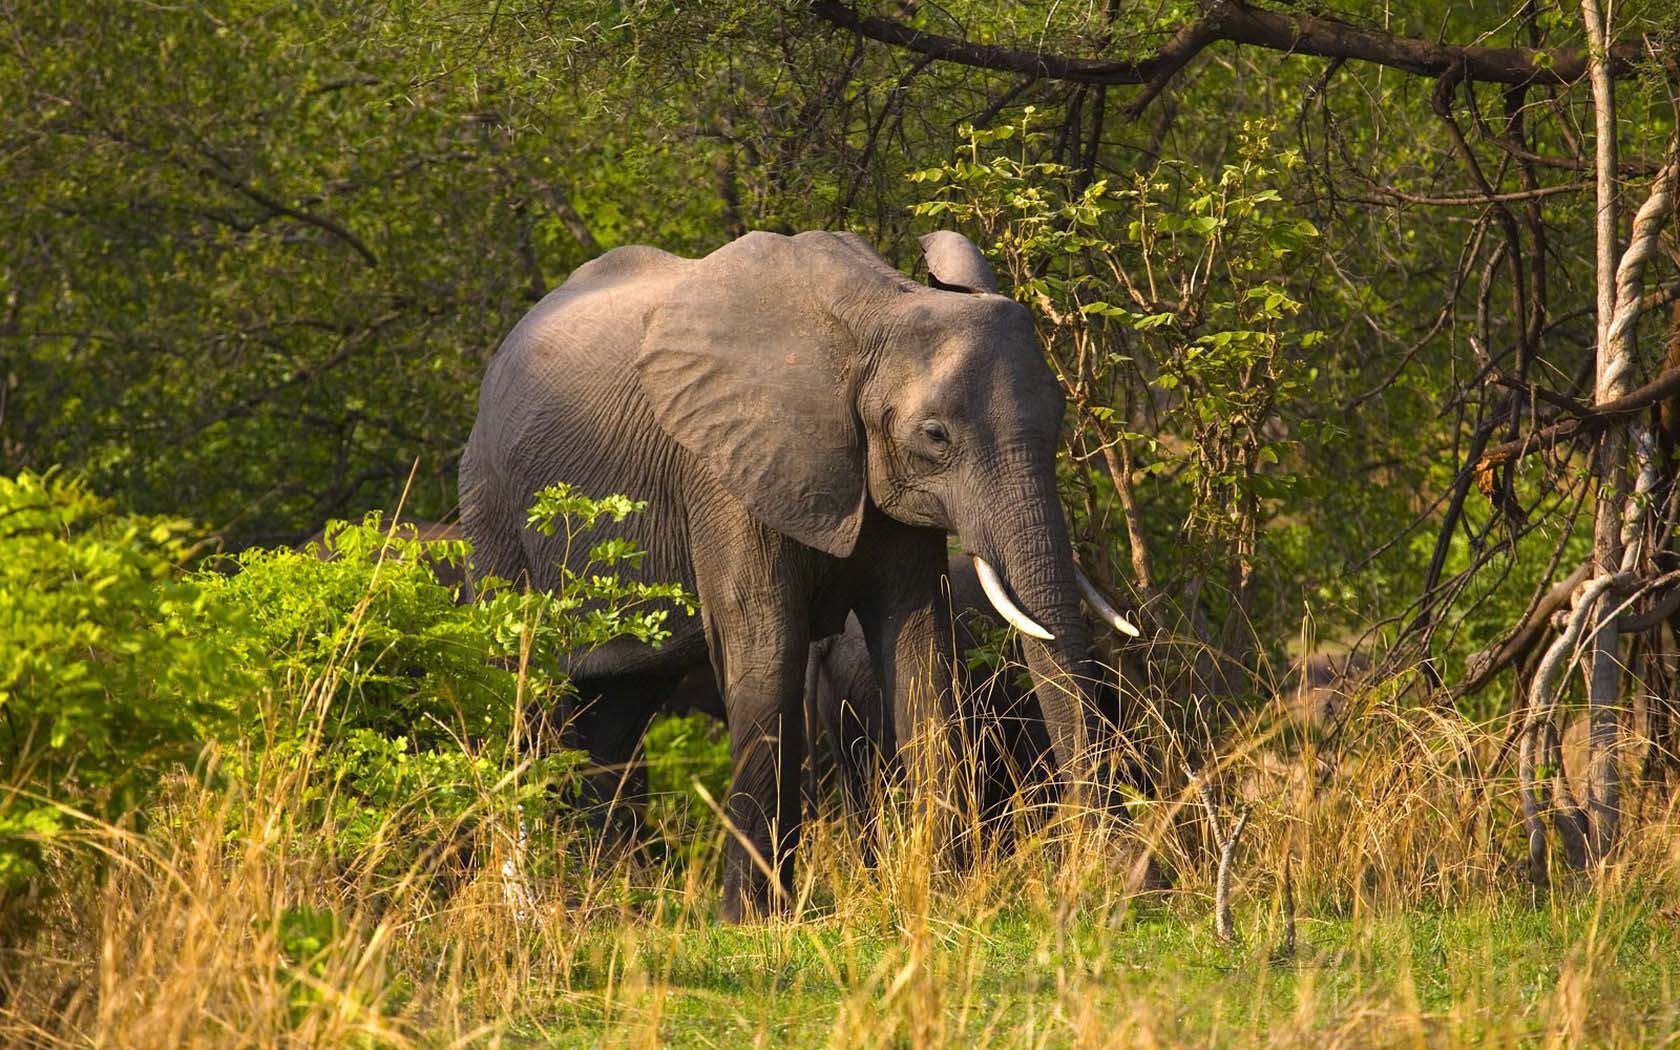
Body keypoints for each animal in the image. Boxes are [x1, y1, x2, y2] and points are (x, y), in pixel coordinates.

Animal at [460, 228, 1142, 913]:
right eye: (935, 436)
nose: (1108, 874)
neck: (878, 311)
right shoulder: (725, 465)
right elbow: (766, 646)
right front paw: (752, 921)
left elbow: (919, 646)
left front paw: (940, 896)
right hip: (492, 510)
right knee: (524, 697)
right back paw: (533, 907)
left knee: (616, 711)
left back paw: (604, 903)